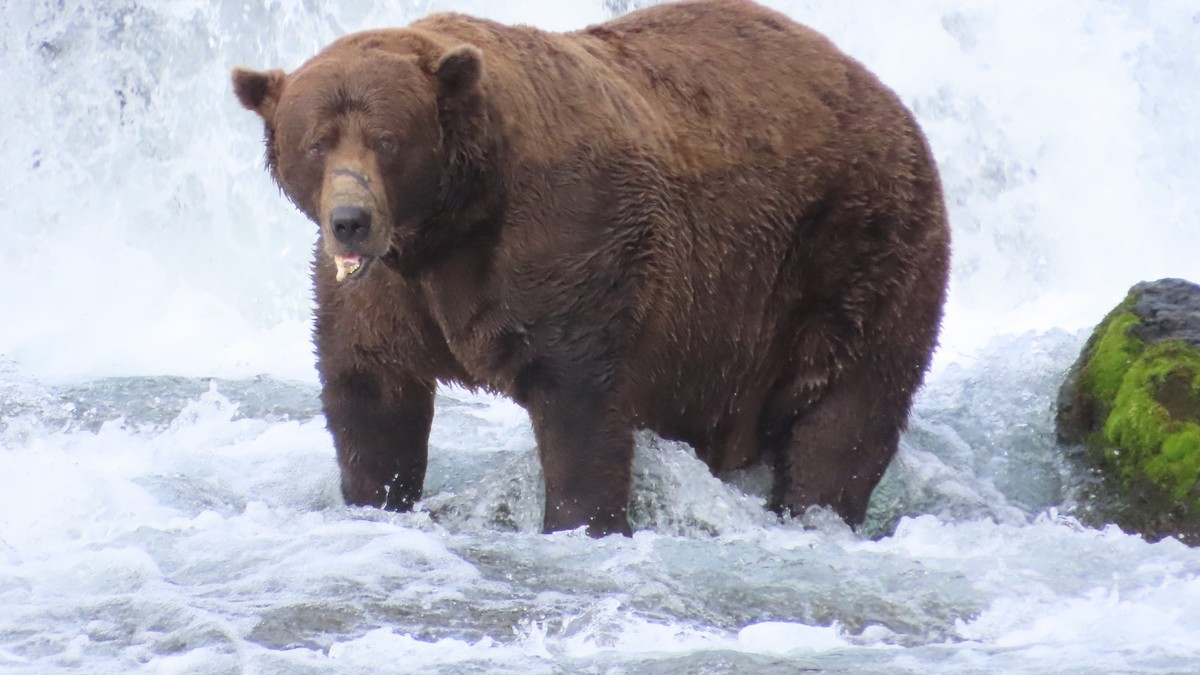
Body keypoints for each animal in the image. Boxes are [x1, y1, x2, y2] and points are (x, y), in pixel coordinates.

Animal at [231, 0, 950, 537]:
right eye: (316, 142)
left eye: (387, 140)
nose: (350, 219)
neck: (450, 224)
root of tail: (886, 95)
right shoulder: (385, 293)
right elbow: (370, 392)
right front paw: (377, 496)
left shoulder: (569, 242)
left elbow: (579, 401)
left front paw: (581, 520)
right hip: (726, 334)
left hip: (854, 247)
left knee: (847, 410)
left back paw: (815, 510)